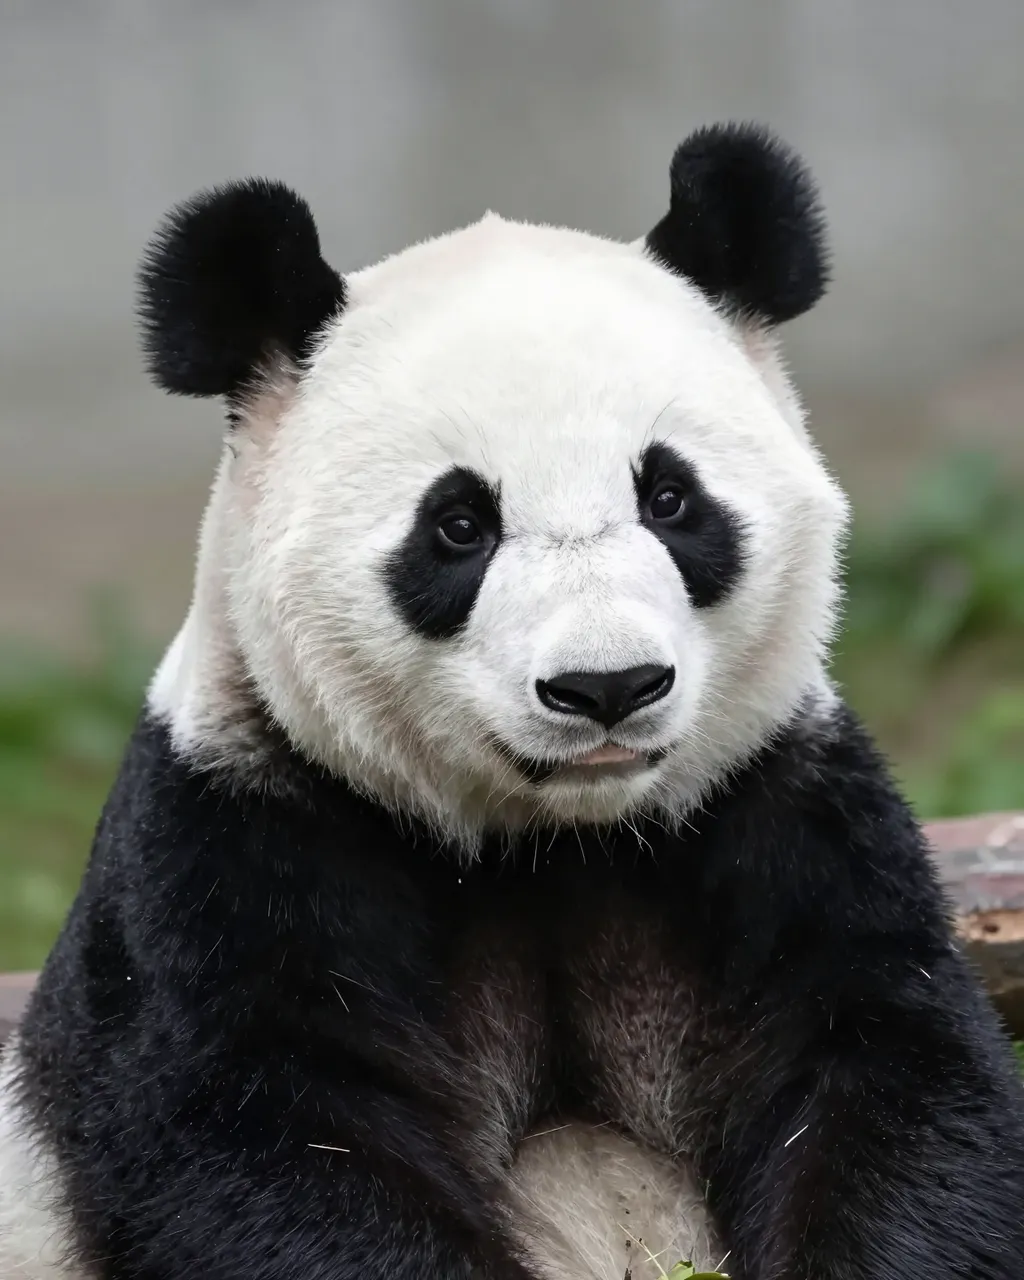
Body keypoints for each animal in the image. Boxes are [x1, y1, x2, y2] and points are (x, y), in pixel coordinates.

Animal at [2, 121, 1023, 1280]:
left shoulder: (779, 811)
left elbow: (891, 1089)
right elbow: (268, 1149)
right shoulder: (234, 849)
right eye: (458, 526)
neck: (553, 841)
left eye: (670, 498)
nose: (607, 686)